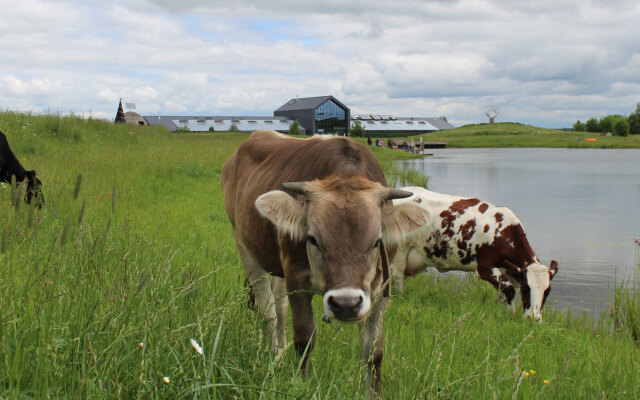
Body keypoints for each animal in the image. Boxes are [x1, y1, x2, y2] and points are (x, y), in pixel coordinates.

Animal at [221, 130, 430, 394]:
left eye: (376, 241)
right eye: (313, 239)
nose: (345, 303)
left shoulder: (381, 286)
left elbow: (373, 350)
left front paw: (373, 393)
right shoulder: (296, 277)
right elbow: (305, 338)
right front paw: (301, 385)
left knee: (280, 307)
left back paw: (280, 353)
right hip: (243, 244)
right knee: (266, 309)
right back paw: (272, 355)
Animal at [388, 188, 556, 322]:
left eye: (547, 292)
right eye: (526, 288)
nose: (533, 319)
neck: (503, 232)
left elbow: (502, 293)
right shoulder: (484, 267)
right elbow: (508, 289)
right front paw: (511, 315)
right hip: (400, 250)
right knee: (397, 276)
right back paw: (399, 298)